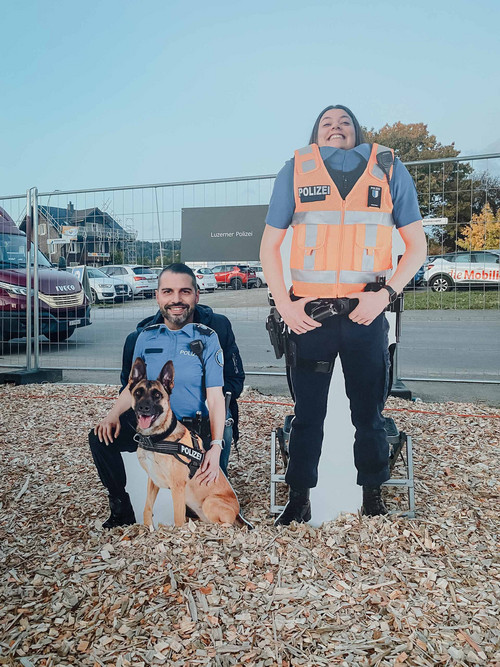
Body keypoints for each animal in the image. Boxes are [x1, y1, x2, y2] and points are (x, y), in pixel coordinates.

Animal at [128, 358, 247, 528]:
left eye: (157, 395)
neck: (156, 438)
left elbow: (178, 519)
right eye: (138, 393)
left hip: (209, 502)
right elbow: (147, 508)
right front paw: (147, 528)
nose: (143, 408)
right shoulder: (153, 480)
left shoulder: (177, 487)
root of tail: (237, 512)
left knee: (226, 525)